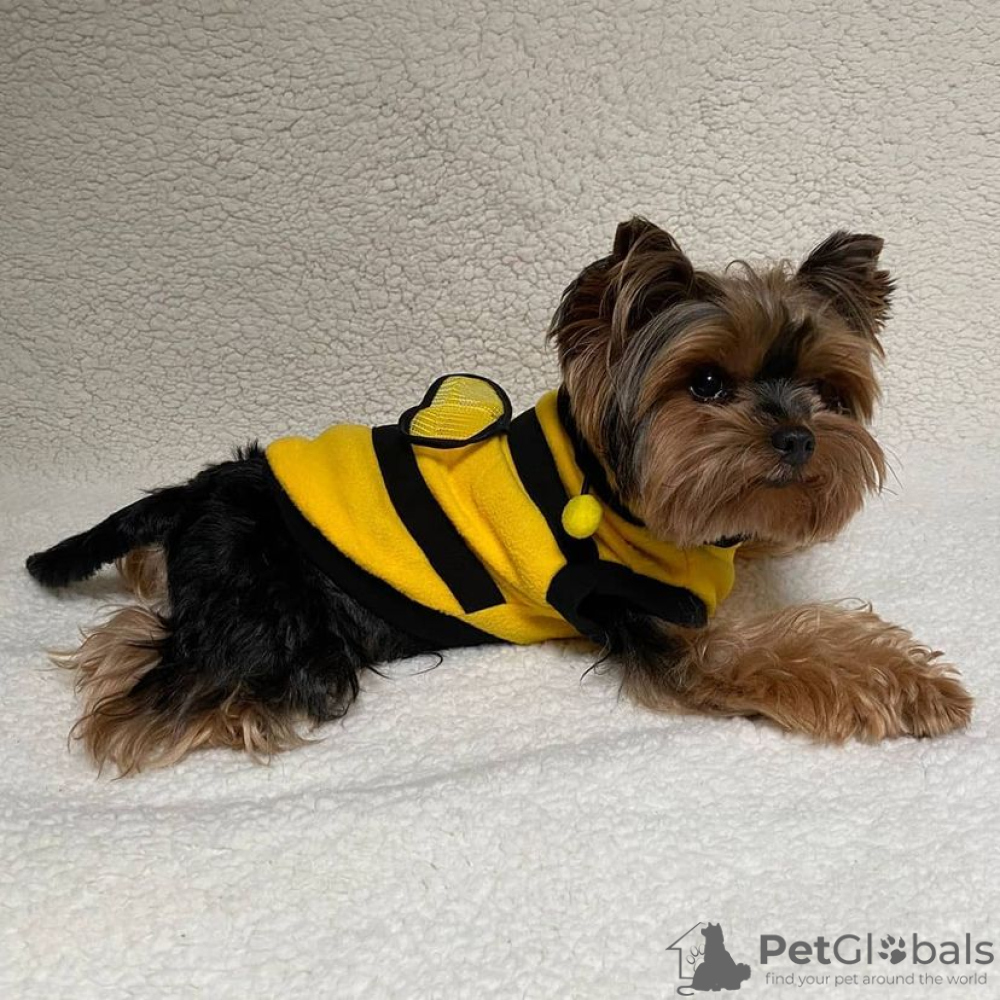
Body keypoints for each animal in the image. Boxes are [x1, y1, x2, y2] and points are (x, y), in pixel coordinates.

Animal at [26, 217, 973, 774]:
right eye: (705, 383)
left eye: (826, 389)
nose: (799, 438)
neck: (618, 487)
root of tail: (200, 492)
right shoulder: (668, 629)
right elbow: (785, 647)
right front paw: (914, 688)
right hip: (277, 621)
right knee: (152, 701)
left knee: (134, 638)